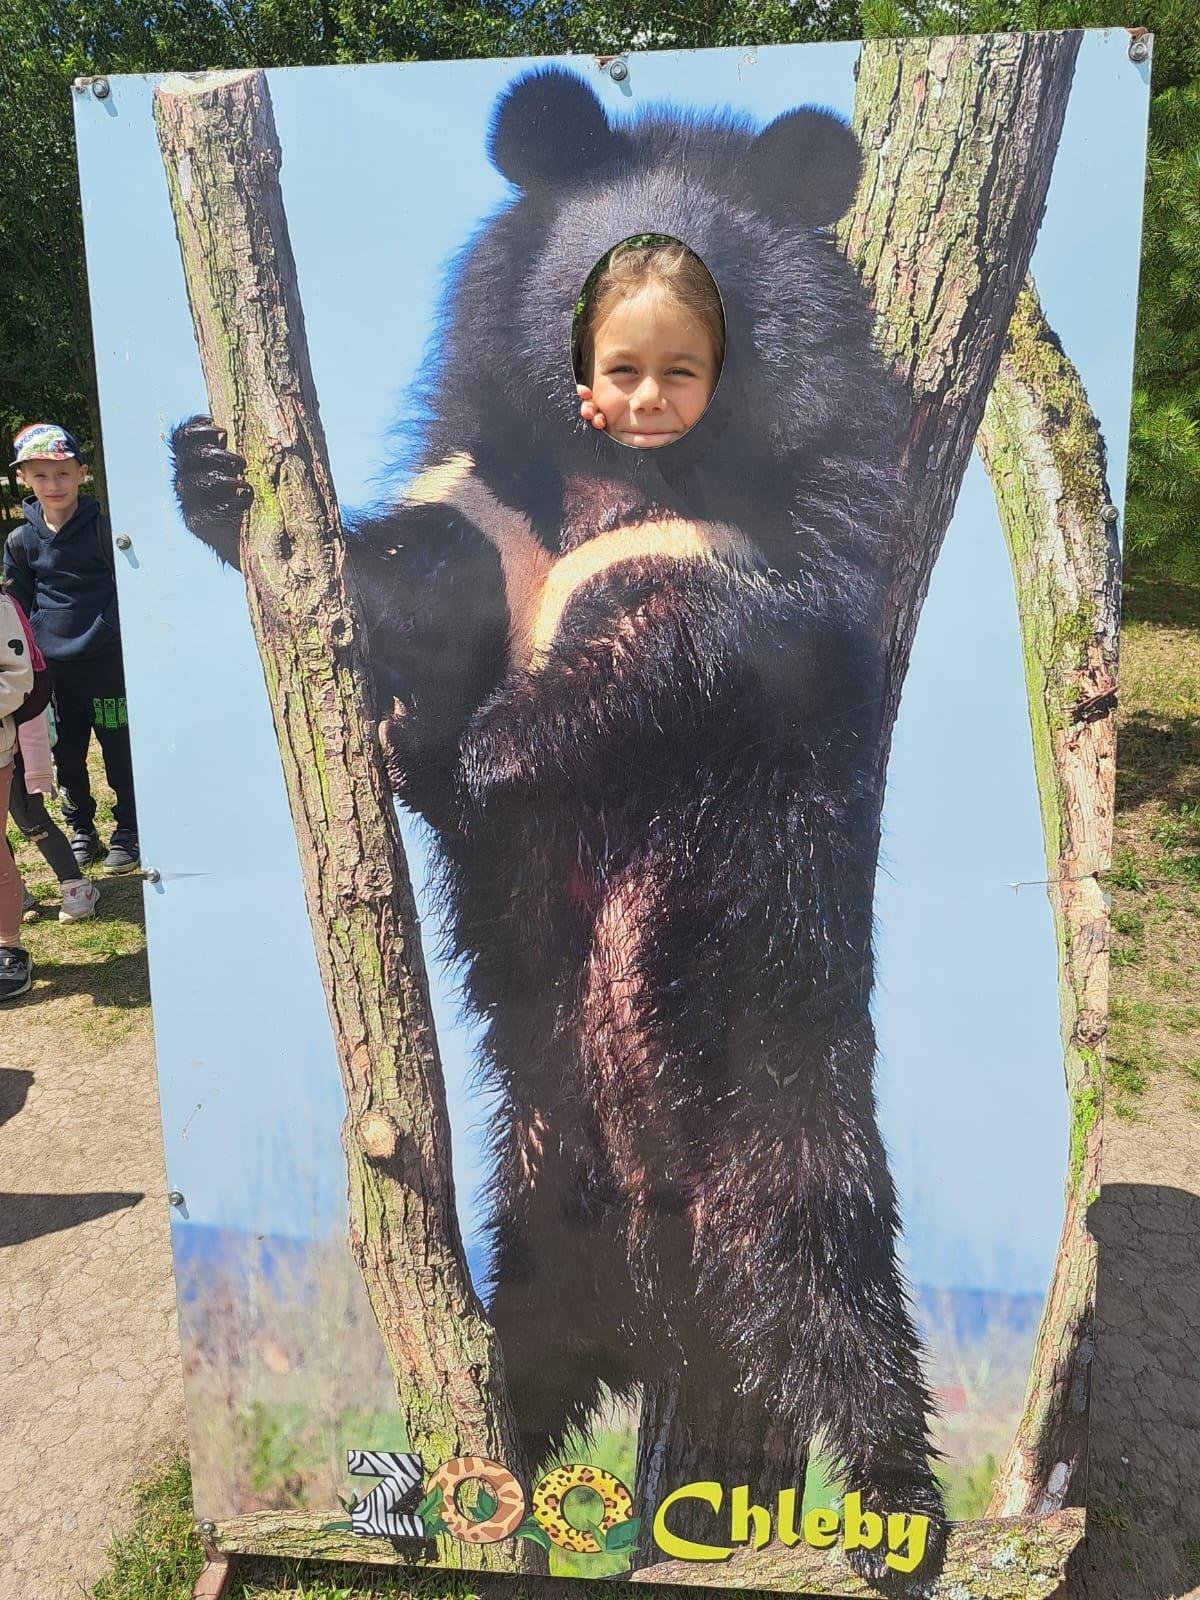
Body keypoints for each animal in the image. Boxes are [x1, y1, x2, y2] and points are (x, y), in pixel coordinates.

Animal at [172, 65, 946, 1577]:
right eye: (593, 295)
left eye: (713, 310)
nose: (640, 365)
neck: (626, 481)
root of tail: (654, 1272)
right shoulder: (484, 503)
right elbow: (399, 568)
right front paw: (210, 478)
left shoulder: (747, 565)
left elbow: (664, 666)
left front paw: (450, 757)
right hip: (537, 1189)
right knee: (522, 1357)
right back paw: (450, 1483)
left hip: (789, 1115)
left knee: (846, 1318)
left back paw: (908, 1518)